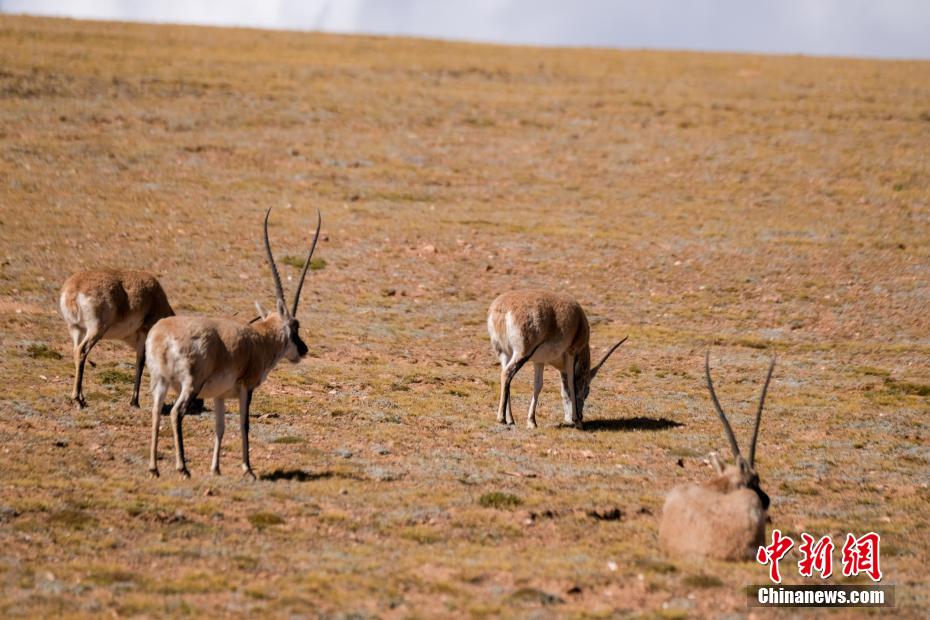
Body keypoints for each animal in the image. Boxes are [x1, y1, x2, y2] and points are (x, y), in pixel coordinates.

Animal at [58, 270, 174, 406]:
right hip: (95, 330)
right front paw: (134, 402)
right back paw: (77, 399)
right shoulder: (144, 335)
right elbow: (140, 363)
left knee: (77, 353)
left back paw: (82, 398)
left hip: (77, 330)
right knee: (81, 352)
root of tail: (75, 286)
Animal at [143, 208, 320, 480]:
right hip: (190, 384)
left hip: (160, 382)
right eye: (295, 325)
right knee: (175, 413)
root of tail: (162, 336)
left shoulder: (220, 396)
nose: (303, 349)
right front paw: (248, 469)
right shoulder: (246, 388)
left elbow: (220, 427)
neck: (260, 339)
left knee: (155, 412)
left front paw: (215, 469)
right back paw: (183, 468)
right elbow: (243, 424)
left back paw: (154, 468)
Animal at [482, 290, 628, 426]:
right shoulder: (571, 352)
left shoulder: (539, 361)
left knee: (506, 376)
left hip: (504, 354)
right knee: (506, 374)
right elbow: (571, 383)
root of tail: (502, 309)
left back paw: (511, 420)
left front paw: (532, 421)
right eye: (587, 391)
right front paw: (576, 420)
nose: (580, 416)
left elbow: (538, 385)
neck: (579, 321)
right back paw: (501, 419)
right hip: (522, 352)